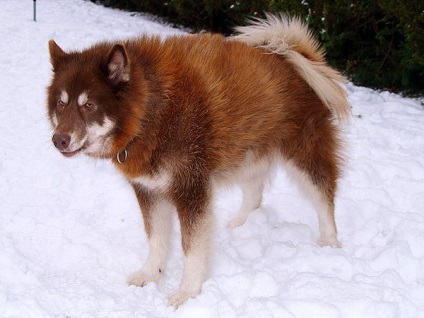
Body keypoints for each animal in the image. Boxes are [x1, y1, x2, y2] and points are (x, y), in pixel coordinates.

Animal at [46, 13, 352, 306]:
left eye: (89, 104)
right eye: (61, 102)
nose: (59, 139)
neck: (150, 111)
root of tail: (296, 57)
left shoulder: (191, 190)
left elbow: (191, 248)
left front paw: (187, 292)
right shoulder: (149, 190)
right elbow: (156, 239)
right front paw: (150, 274)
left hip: (304, 157)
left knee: (324, 198)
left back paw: (329, 242)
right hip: (247, 153)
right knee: (254, 195)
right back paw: (240, 224)